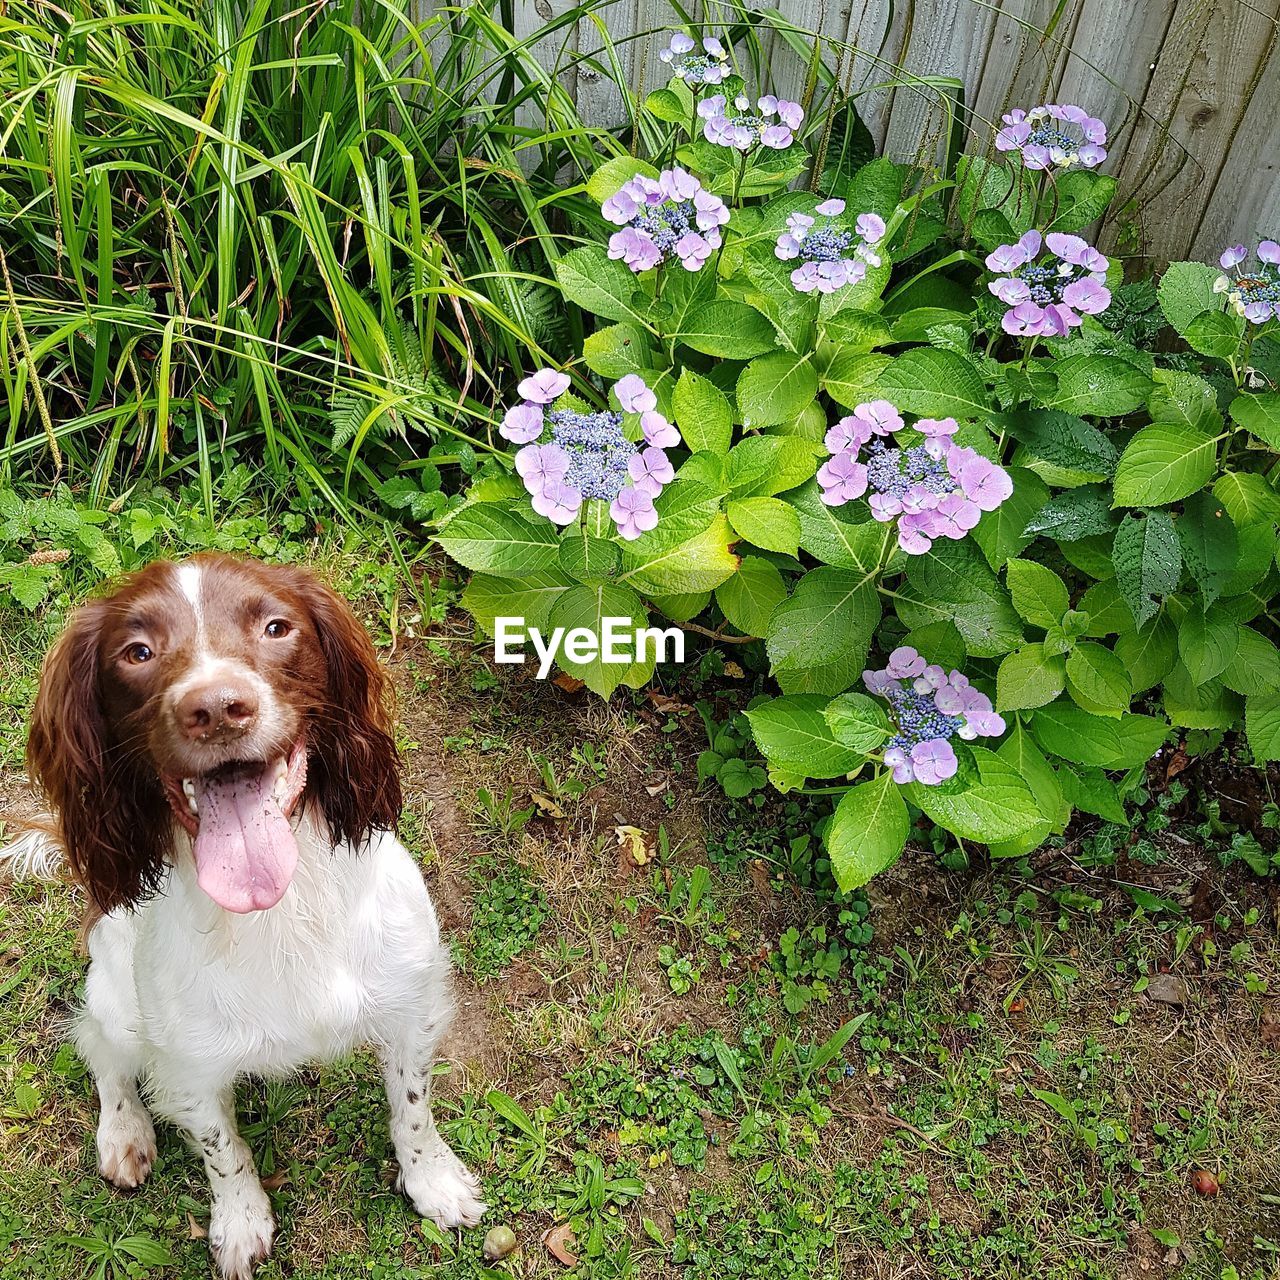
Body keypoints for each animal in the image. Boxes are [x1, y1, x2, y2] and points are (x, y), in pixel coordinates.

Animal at [2, 558, 481, 1280]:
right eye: (137, 652)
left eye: (276, 627)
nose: (217, 708)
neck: (280, 911)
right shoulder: (190, 1065)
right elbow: (221, 1150)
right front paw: (240, 1222)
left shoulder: (411, 1005)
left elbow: (413, 1109)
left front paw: (434, 1182)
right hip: (115, 998)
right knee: (101, 1053)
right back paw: (124, 1132)